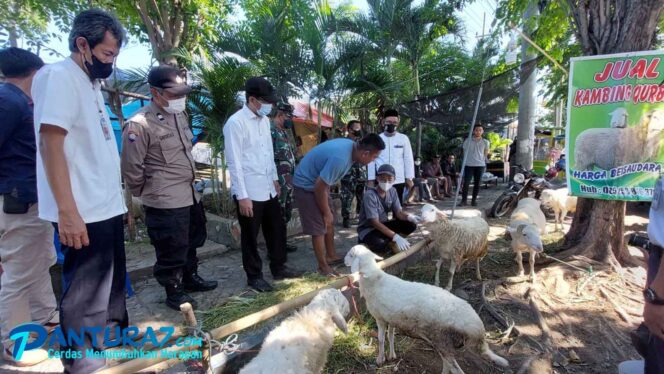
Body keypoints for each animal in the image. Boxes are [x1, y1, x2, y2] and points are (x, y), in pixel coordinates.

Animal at [344, 244, 506, 372]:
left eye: (351, 254)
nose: (344, 261)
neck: (374, 280)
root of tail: (478, 328)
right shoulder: (392, 318)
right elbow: (391, 336)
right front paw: (392, 356)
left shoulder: (380, 318)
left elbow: (381, 339)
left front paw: (380, 359)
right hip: (444, 344)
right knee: (448, 364)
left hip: (442, 339)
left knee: (455, 369)